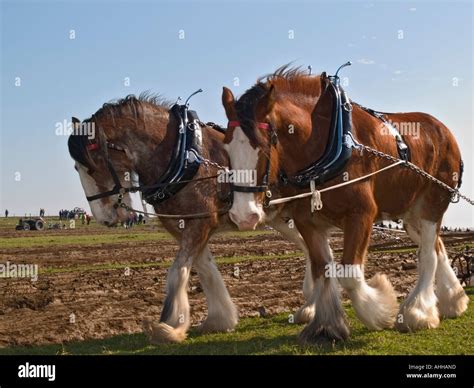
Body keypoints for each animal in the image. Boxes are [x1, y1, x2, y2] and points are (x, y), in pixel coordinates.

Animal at [67, 93, 318, 342]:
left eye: (92, 165)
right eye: (76, 168)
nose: (104, 218)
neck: (181, 156)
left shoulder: (201, 223)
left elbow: (177, 273)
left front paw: (169, 327)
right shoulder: (184, 227)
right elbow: (204, 269)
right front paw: (219, 319)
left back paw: (312, 305)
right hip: (278, 218)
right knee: (307, 247)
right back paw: (309, 304)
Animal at [221, 67, 466, 346]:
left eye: (262, 147)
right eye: (226, 147)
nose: (243, 215)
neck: (329, 144)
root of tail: (443, 129)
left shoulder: (361, 214)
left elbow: (349, 273)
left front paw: (379, 310)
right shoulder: (308, 221)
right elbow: (322, 269)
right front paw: (326, 326)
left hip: (433, 203)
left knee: (427, 254)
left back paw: (417, 312)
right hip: (410, 214)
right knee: (437, 246)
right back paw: (452, 301)